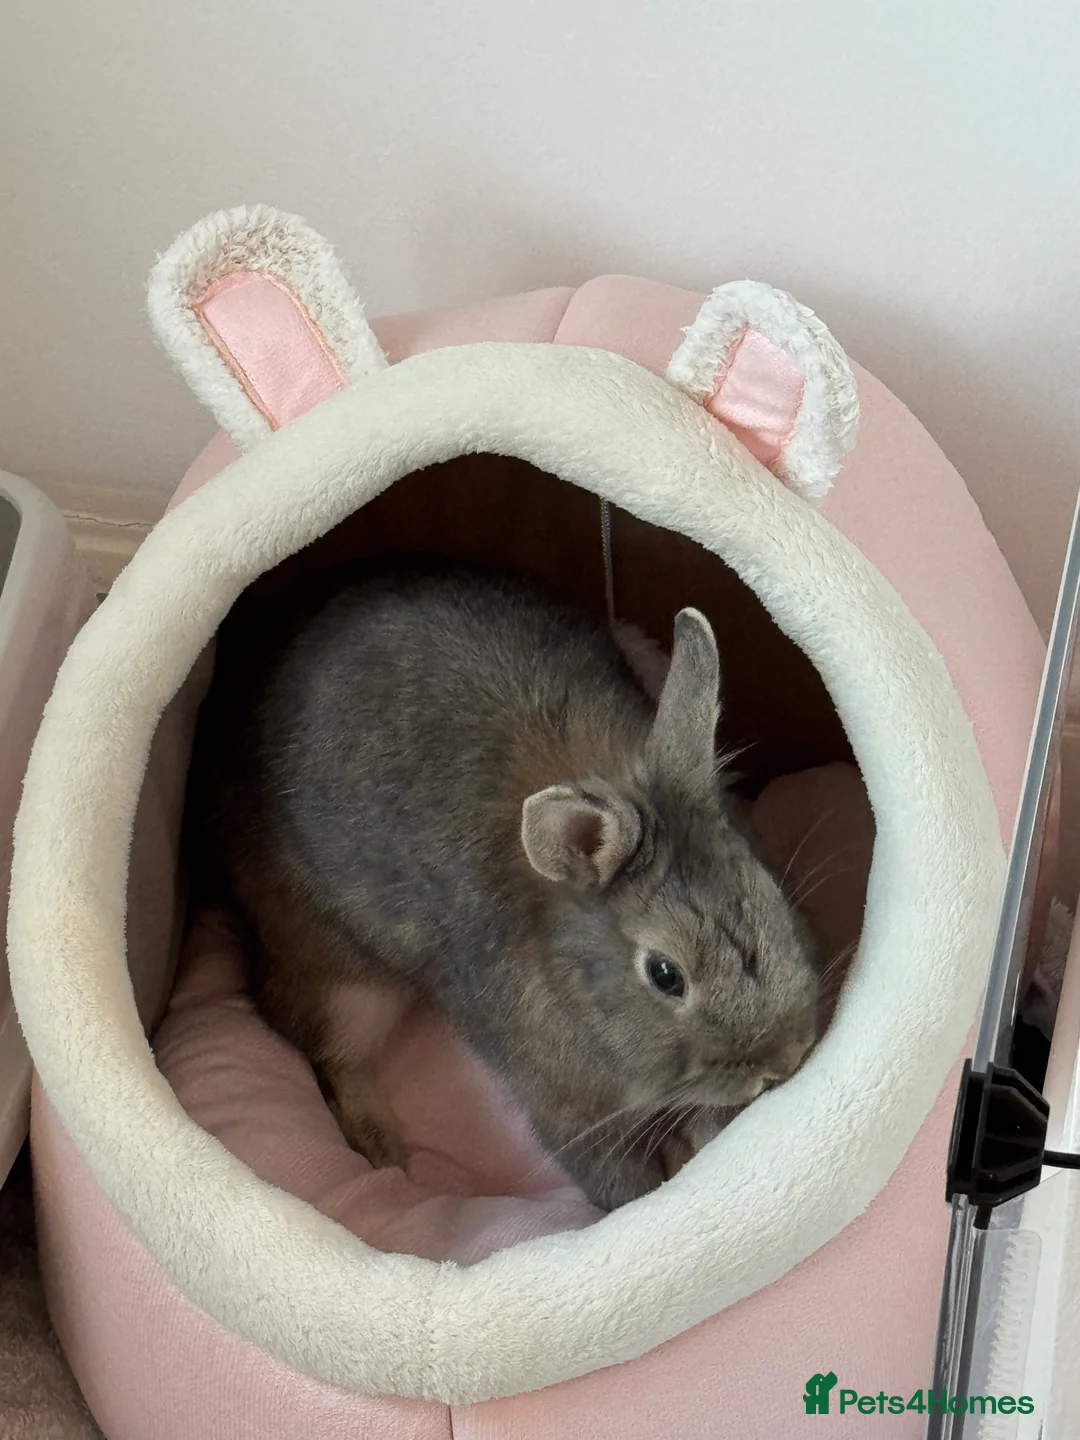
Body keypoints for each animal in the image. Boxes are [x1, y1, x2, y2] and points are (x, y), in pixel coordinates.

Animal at [189, 555, 820, 1211]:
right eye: (666, 974)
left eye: (767, 889)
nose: (786, 1057)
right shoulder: (563, 1112)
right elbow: (614, 1178)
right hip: (340, 984)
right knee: (322, 1048)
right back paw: (382, 1148)